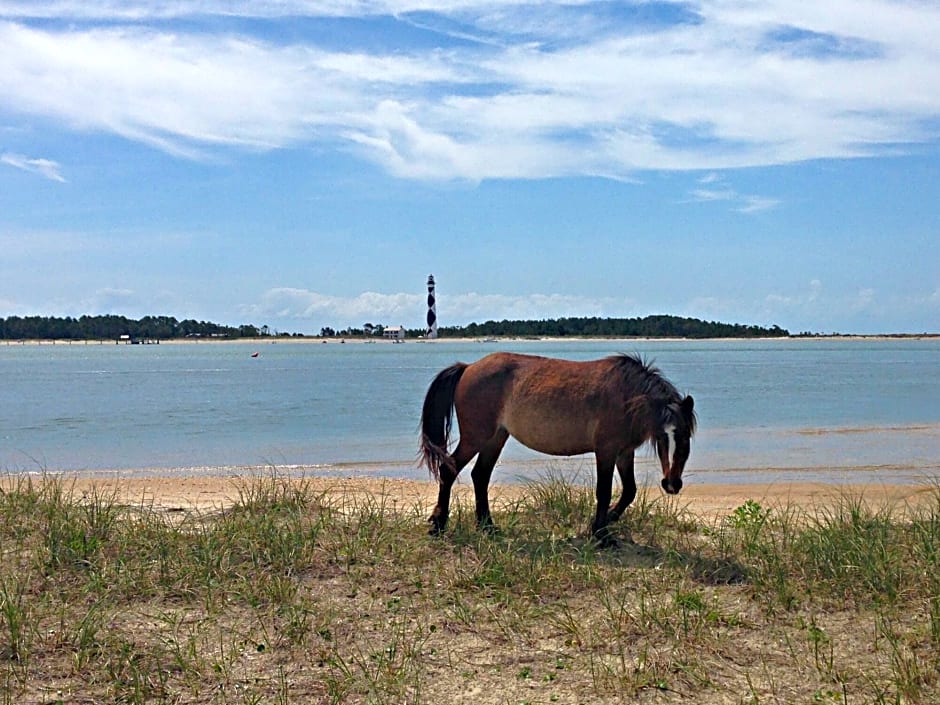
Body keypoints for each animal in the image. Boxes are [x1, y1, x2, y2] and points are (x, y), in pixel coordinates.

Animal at [422, 352, 692, 544]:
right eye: (663, 437)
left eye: (685, 438)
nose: (672, 484)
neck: (627, 397)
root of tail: (469, 367)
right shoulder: (606, 451)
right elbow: (604, 491)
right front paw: (601, 534)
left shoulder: (624, 452)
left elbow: (629, 491)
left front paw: (604, 522)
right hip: (476, 437)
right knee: (449, 470)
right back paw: (438, 524)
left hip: (496, 437)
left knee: (480, 475)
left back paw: (487, 526)